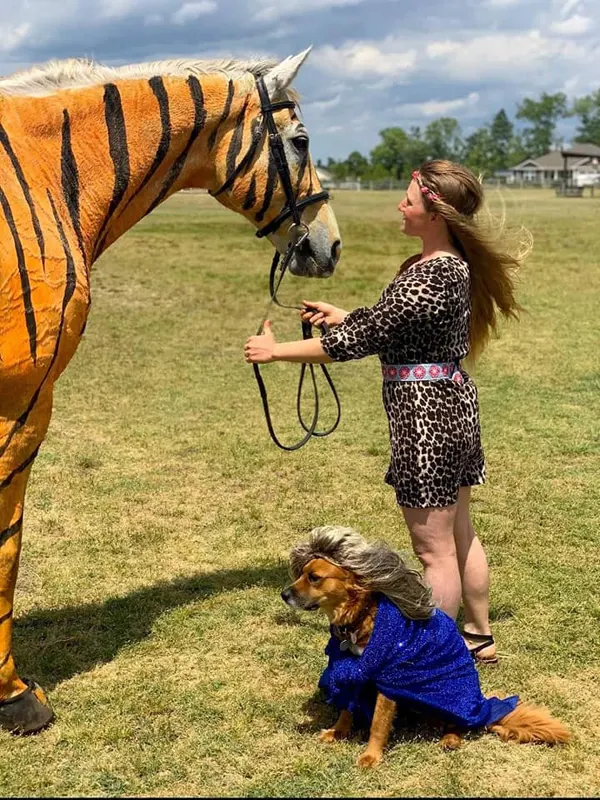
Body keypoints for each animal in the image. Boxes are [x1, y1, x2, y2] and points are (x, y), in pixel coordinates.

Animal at [0, 48, 340, 732]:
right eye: (300, 141)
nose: (332, 244)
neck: (45, 175)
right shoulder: (21, 403)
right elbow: (6, 543)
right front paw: (13, 695)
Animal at [282, 524, 572, 768]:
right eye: (302, 574)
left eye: (314, 577)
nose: (283, 594)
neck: (360, 616)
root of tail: (483, 707)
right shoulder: (353, 670)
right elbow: (346, 708)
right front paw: (338, 732)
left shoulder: (390, 680)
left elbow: (378, 723)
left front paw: (371, 756)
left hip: (446, 695)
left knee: (459, 724)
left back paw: (451, 739)